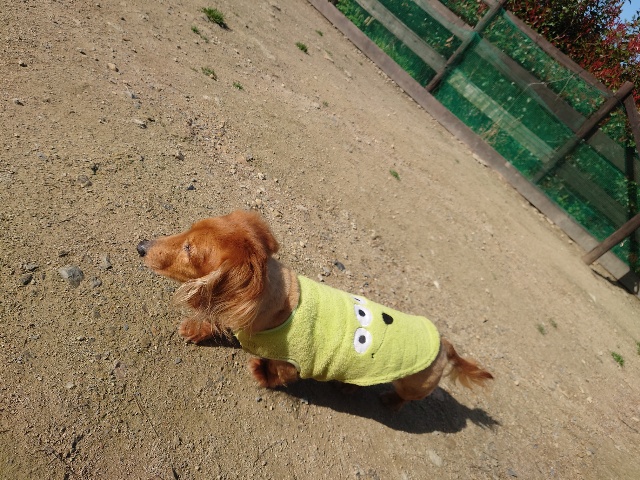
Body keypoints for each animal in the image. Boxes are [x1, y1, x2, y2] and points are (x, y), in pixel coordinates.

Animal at [137, 210, 493, 410]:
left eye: (189, 249)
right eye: (187, 232)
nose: (140, 246)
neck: (278, 307)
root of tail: (444, 344)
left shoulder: (295, 365)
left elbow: (277, 373)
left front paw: (260, 372)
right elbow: (218, 319)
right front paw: (197, 328)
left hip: (413, 384)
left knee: (403, 396)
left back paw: (387, 400)